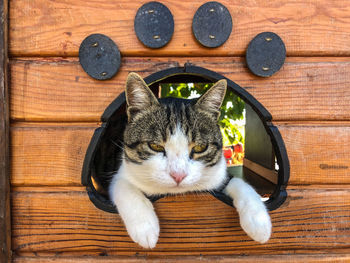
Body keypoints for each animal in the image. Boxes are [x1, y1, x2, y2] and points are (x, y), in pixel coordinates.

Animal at [108, 72, 270, 250]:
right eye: (155, 146)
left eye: (200, 147)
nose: (178, 175)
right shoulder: (122, 172)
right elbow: (123, 185)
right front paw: (144, 227)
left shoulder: (220, 177)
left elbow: (239, 183)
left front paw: (259, 222)